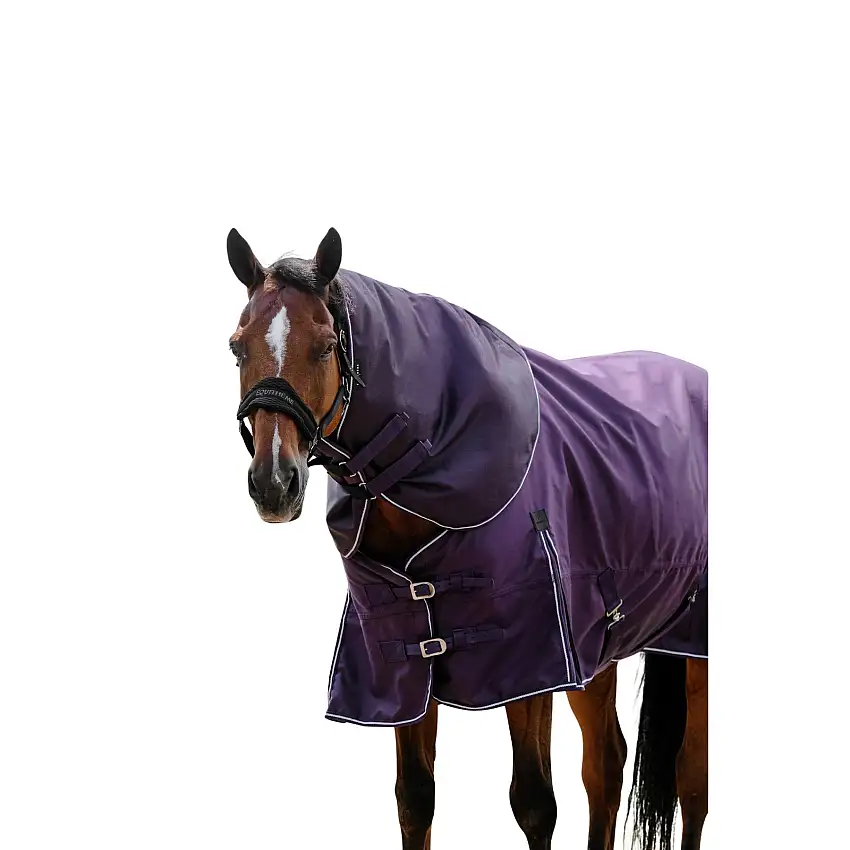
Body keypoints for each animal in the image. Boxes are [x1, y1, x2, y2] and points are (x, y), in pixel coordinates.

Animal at [225, 226, 708, 850]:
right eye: (237, 346)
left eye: (327, 346)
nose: (273, 482)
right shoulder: (405, 662)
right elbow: (415, 799)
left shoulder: (530, 665)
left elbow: (534, 804)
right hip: (600, 649)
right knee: (609, 764)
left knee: (687, 776)